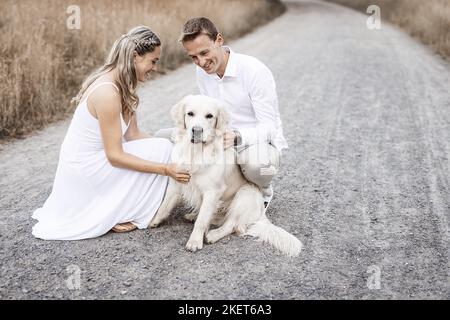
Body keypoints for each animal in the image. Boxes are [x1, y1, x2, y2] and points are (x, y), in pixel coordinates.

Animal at [151, 94, 302, 256]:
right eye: (190, 113)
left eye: (209, 116)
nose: (196, 130)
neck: (196, 151)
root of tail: (262, 213)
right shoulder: (177, 181)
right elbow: (164, 206)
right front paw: (154, 221)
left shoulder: (212, 191)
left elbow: (202, 221)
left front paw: (194, 241)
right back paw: (193, 216)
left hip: (245, 194)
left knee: (232, 225)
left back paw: (213, 234)